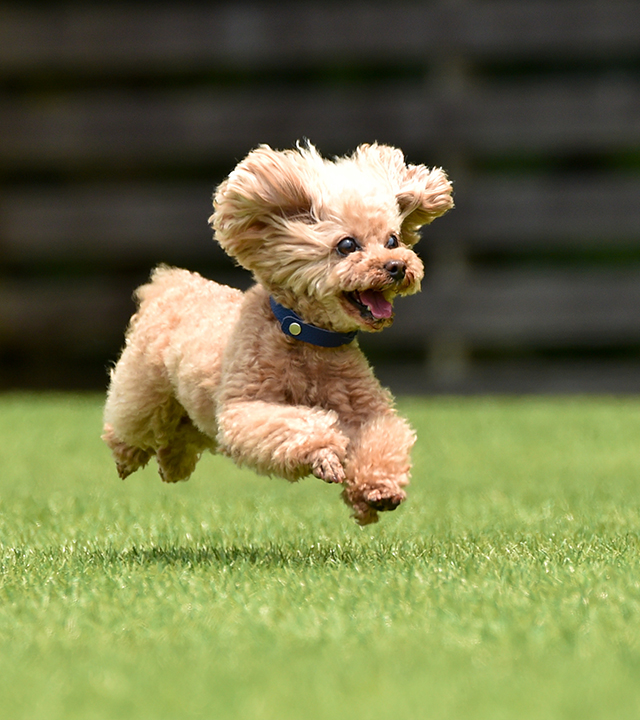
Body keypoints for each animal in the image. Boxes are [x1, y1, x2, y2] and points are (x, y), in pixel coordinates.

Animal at [102, 142, 452, 524]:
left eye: (392, 240)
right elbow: (299, 426)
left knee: (178, 439)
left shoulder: (365, 411)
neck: (307, 337)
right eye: (347, 245)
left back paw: (171, 463)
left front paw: (377, 489)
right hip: (145, 391)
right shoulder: (246, 408)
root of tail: (173, 283)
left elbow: (382, 436)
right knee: (130, 424)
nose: (397, 266)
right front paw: (326, 454)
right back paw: (125, 456)